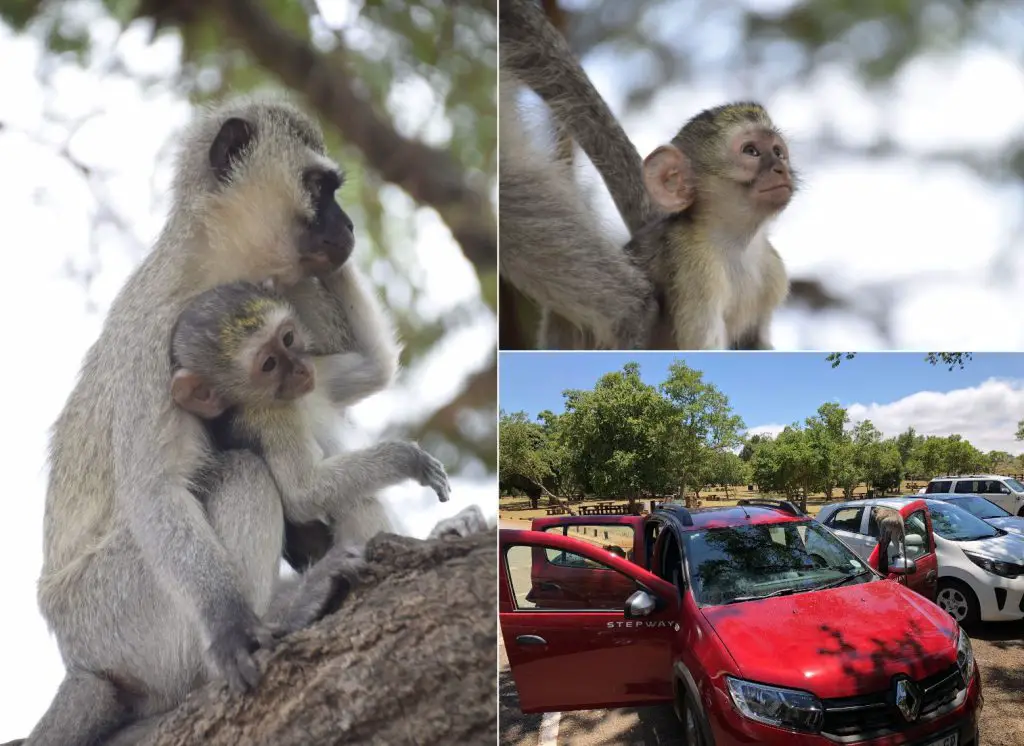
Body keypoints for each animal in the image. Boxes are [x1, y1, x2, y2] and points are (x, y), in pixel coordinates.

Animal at [168, 278, 452, 548]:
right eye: (269, 364)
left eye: (288, 339)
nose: (300, 369)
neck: (293, 400)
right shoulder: (269, 420)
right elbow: (303, 493)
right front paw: (408, 458)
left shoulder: (318, 373)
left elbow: (376, 366)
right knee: (357, 502)